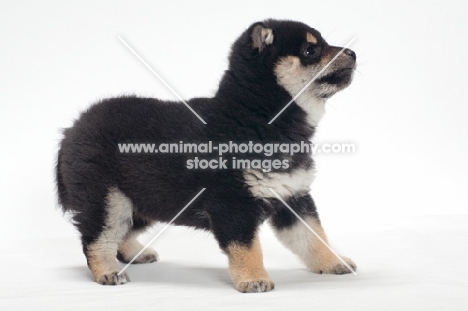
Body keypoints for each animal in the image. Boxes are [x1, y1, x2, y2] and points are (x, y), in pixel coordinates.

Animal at [57, 18, 358, 292]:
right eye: (310, 50)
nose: (353, 53)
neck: (254, 119)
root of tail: (72, 128)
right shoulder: (232, 202)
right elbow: (248, 248)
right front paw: (253, 279)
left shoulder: (292, 196)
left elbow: (314, 238)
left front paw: (334, 262)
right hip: (108, 198)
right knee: (97, 239)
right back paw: (107, 271)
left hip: (145, 198)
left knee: (121, 231)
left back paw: (135, 253)